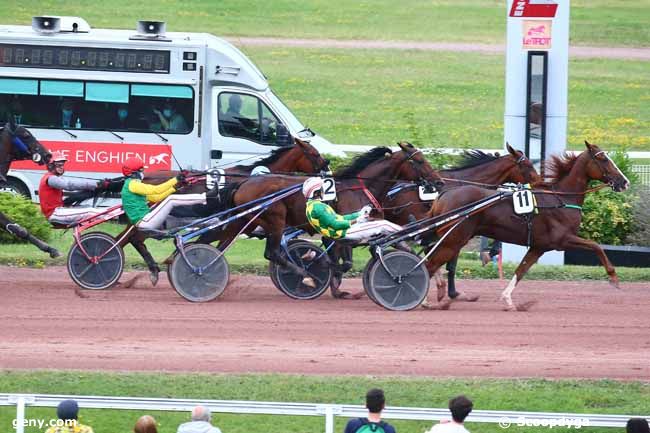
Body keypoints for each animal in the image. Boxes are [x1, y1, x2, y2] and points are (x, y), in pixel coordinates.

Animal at [420, 142, 628, 310]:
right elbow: (596, 246)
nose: (624, 182)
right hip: (453, 240)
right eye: (603, 159)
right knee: (429, 264)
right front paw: (614, 278)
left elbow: (521, 270)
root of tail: (444, 194)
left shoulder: (539, 246)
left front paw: (508, 300)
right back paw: (425, 300)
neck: (561, 199)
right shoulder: (563, 239)